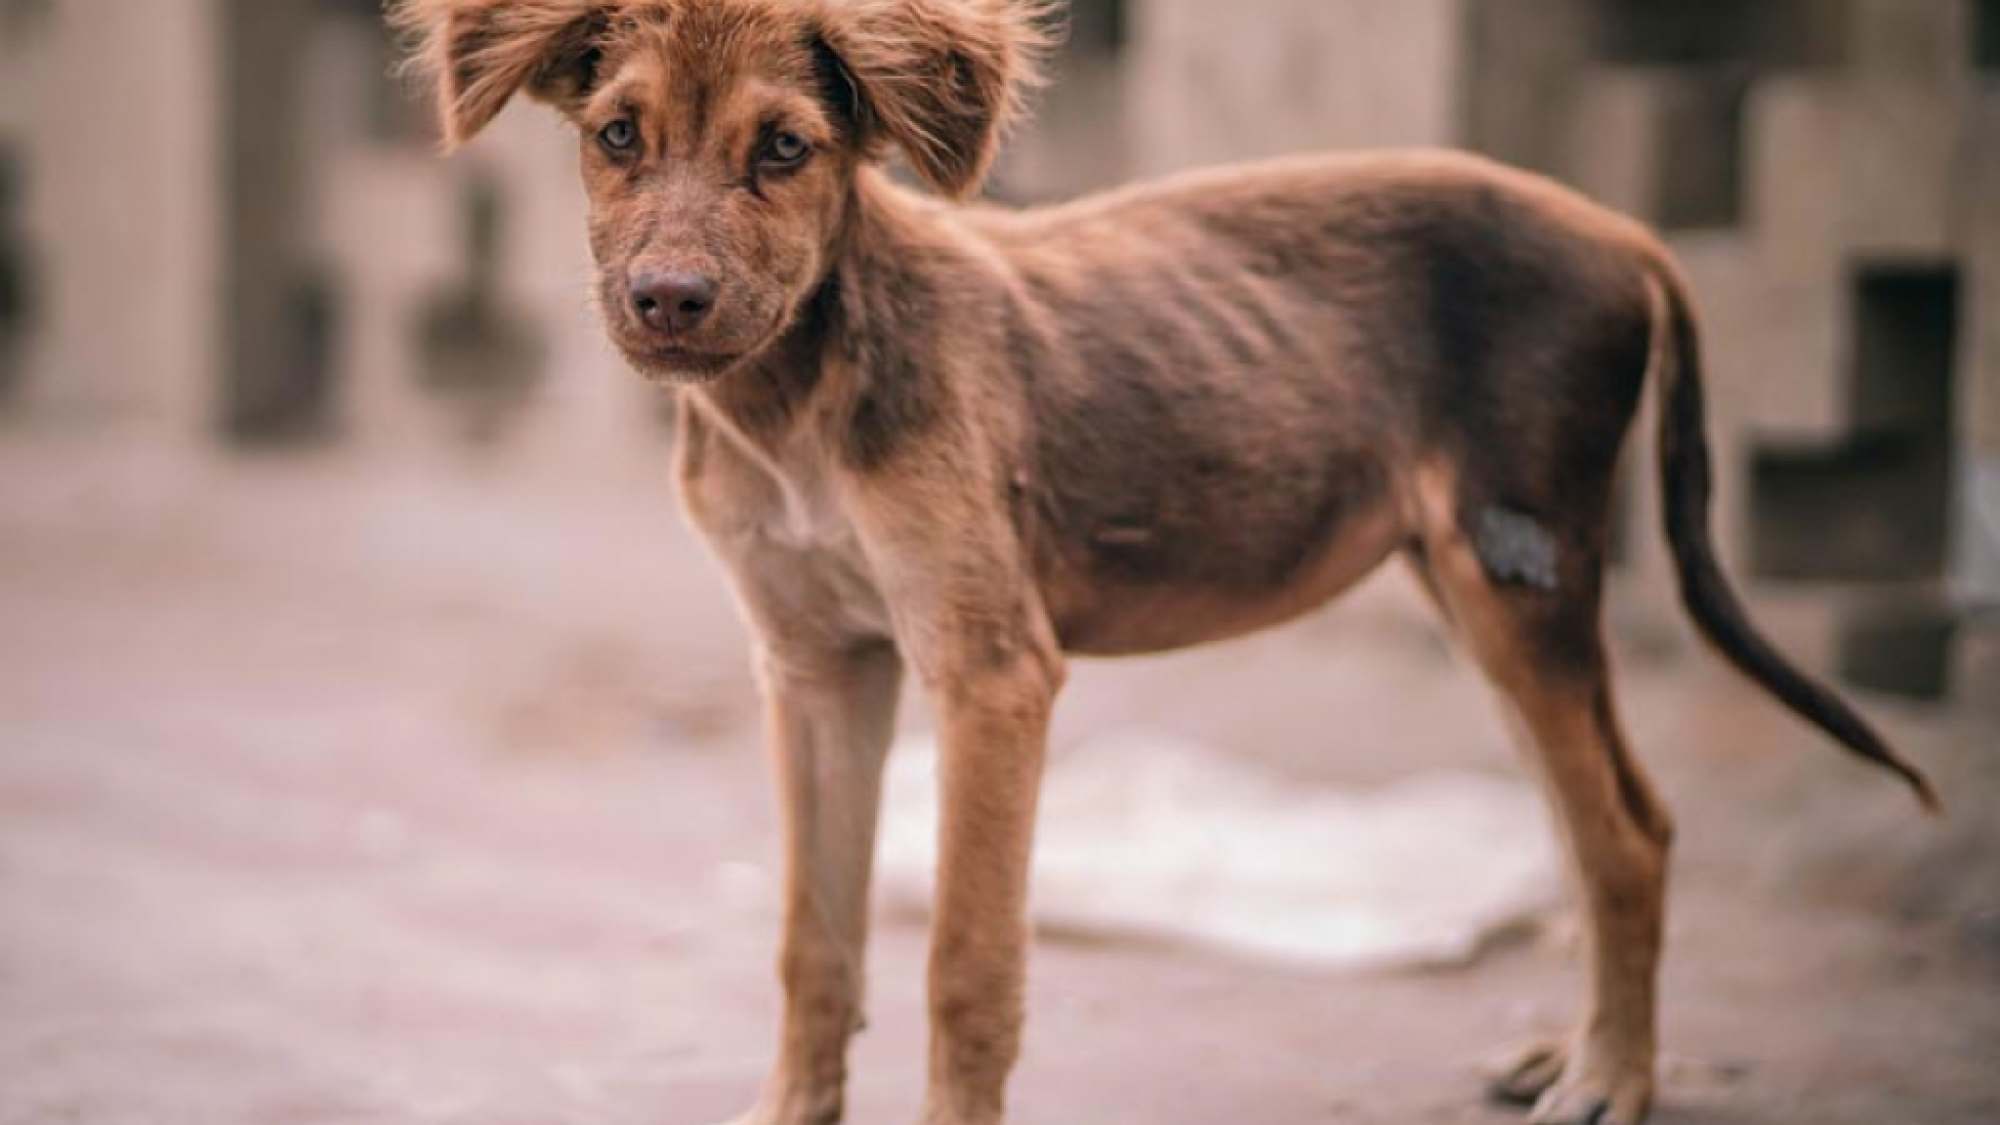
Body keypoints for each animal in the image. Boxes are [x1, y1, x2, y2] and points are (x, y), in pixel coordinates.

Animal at [390, 4, 1936, 1112]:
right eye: (616, 135)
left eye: (784, 150)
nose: (667, 301)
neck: (797, 404)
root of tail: (1622, 230)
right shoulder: (815, 667)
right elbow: (811, 954)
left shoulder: (991, 670)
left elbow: (965, 970)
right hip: (1473, 582)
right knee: (1599, 813)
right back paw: (1580, 1050)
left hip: (1524, 567)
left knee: (1625, 830)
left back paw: (1614, 1078)